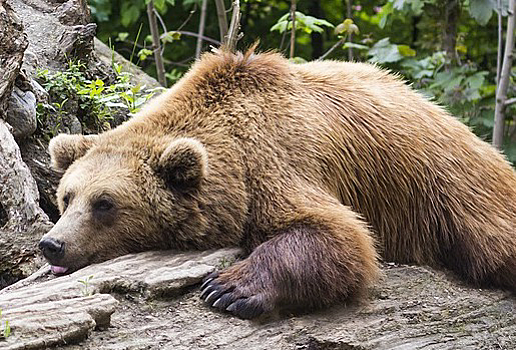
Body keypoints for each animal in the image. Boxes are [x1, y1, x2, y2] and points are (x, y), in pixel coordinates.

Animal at [39, 47, 516, 318]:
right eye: (67, 197)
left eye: (105, 203)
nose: (52, 244)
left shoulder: (276, 160)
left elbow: (336, 234)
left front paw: (228, 288)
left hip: (451, 187)